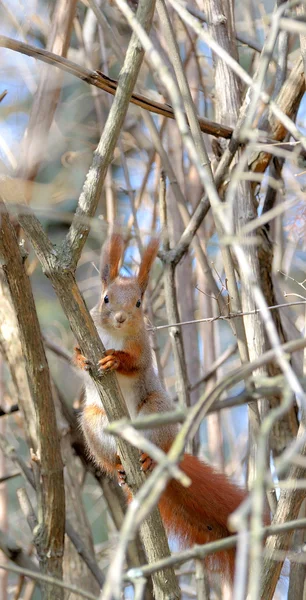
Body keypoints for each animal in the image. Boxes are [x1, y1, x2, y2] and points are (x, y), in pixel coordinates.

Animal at [75, 233, 245, 580]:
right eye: (106, 299)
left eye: (139, 303)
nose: (121, 318)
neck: (114, 335)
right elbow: (79, 357)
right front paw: (81, 357)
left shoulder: (142, 349)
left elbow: (135, 365)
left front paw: (115, 360)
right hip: (93, 424)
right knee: (109, 456)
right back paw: (118, 467)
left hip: (156, 411)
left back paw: (148, 459)